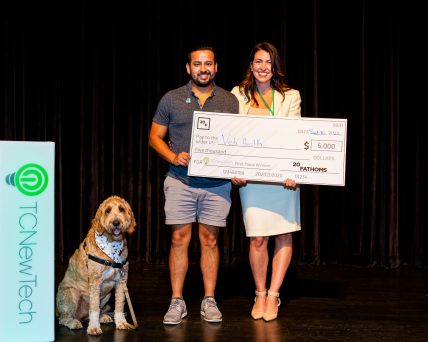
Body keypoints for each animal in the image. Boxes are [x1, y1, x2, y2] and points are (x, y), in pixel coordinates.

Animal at [56, 195, 137, 334]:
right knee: (64, 318)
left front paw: (121, 322)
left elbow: (119, 305)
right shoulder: (95, 281)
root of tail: (81, 316)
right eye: (107, 211)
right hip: (71, 295)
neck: (112, 246)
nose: (116, 222)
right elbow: (94, 308)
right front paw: (94, 327)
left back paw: (103, 316)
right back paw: (73, 322)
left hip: (106, 296)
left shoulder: (121, 280)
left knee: (97, 310)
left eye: (121, 209)